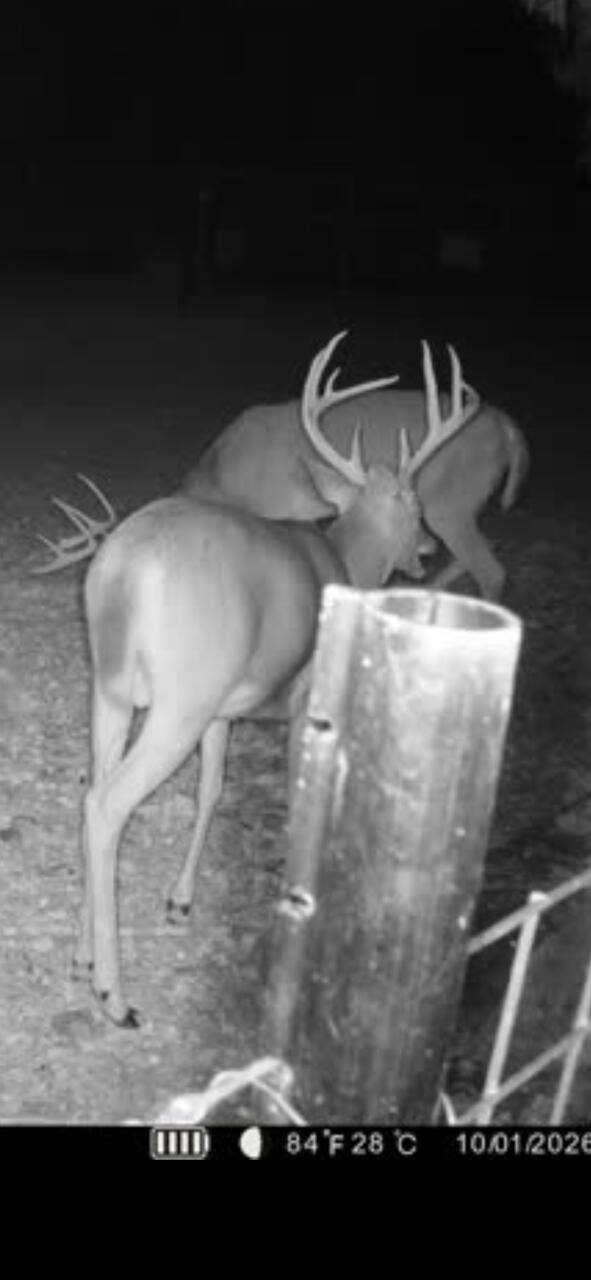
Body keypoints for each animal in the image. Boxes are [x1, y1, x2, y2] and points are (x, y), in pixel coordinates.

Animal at [36, 332, 479, 1026]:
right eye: (415, 504)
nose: (429, 550)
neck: (344, 558)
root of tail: (124, 572)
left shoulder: (226, 710)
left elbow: (211, 791)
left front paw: (181, 901)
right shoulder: (303, 697)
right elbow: (300, 795)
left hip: (112, 690)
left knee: (90, 791)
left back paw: (82, 959)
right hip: (179, 701)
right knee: (109, 805)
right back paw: (115, 996)